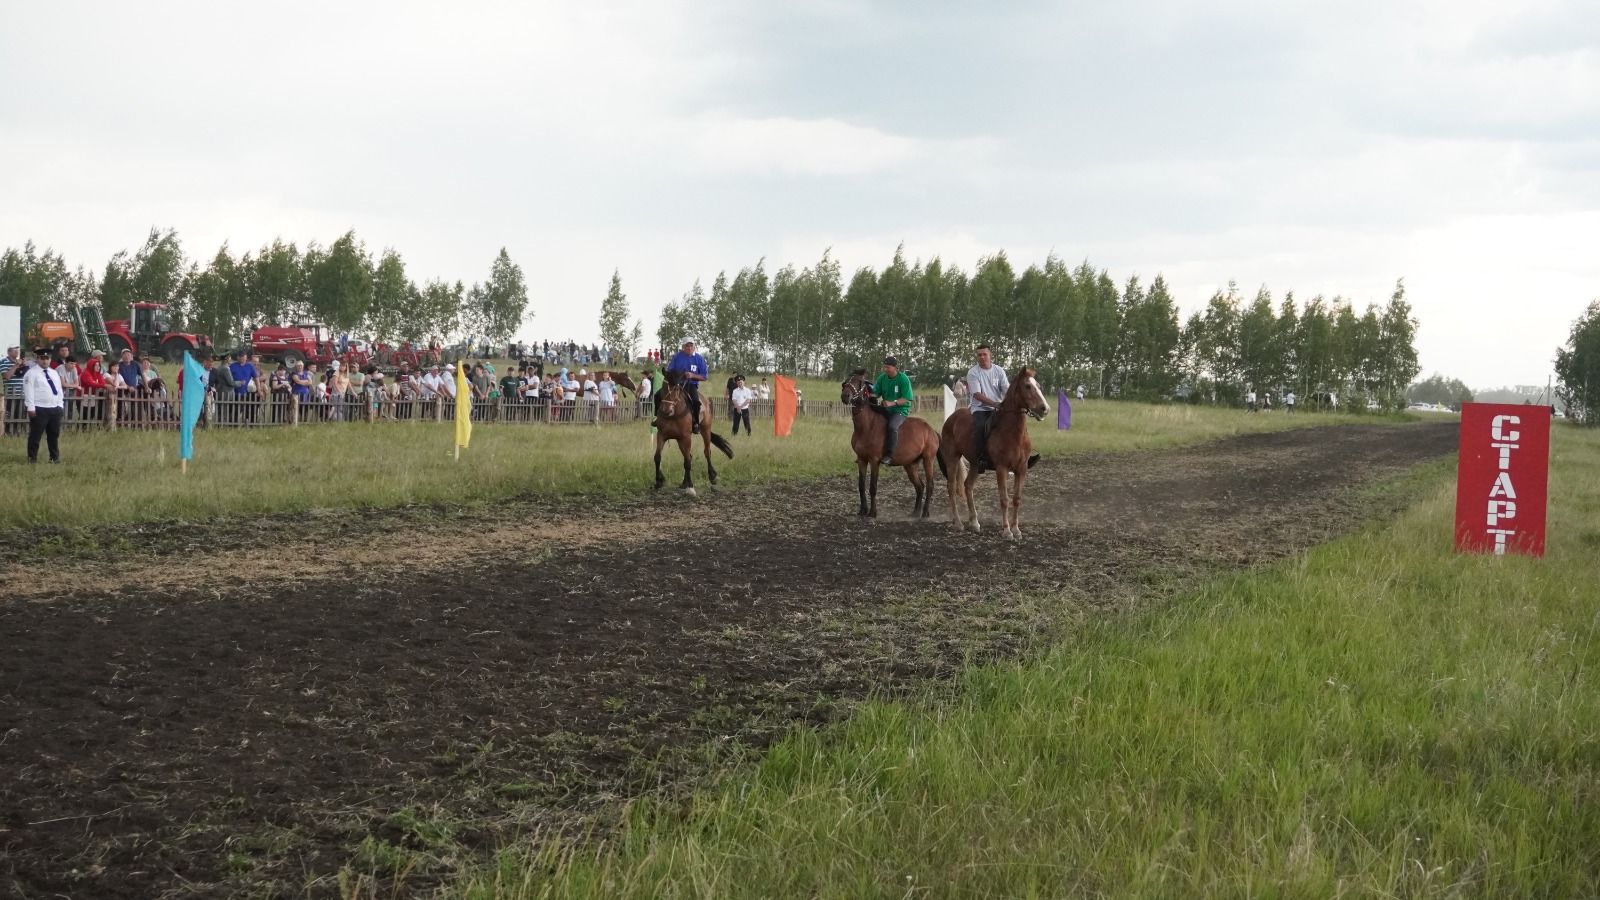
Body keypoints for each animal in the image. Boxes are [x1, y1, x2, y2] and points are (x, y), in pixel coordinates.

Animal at [844, 368, 940, 515]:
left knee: (930, 485)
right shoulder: (861, 459)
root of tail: (931, 430)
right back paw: (915, 512)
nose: (845, 396)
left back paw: (925, 513)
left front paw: (872, 512)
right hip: (910, 465)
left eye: (859, 382)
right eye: (846, 380)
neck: (867, 426)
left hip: (928, 459)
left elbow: (873, 487)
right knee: (920, 486)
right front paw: (863, 510)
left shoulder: (874, 460)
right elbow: (861, 486)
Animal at [934, 366, 1049, 534]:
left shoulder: (1021, 469)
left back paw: (974, 522)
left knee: (968, 486)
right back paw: (958, 522)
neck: (1013, 433)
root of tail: (952, 418)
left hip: (975, 464)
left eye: (1038, 386)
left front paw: (1016, 530)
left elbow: (1016, 499)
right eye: (1027, 386)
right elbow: (1004, 499)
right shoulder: (1001, 468)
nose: (1044, 409)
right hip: (952, 458)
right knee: (951, 487)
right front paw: (1007, 531)